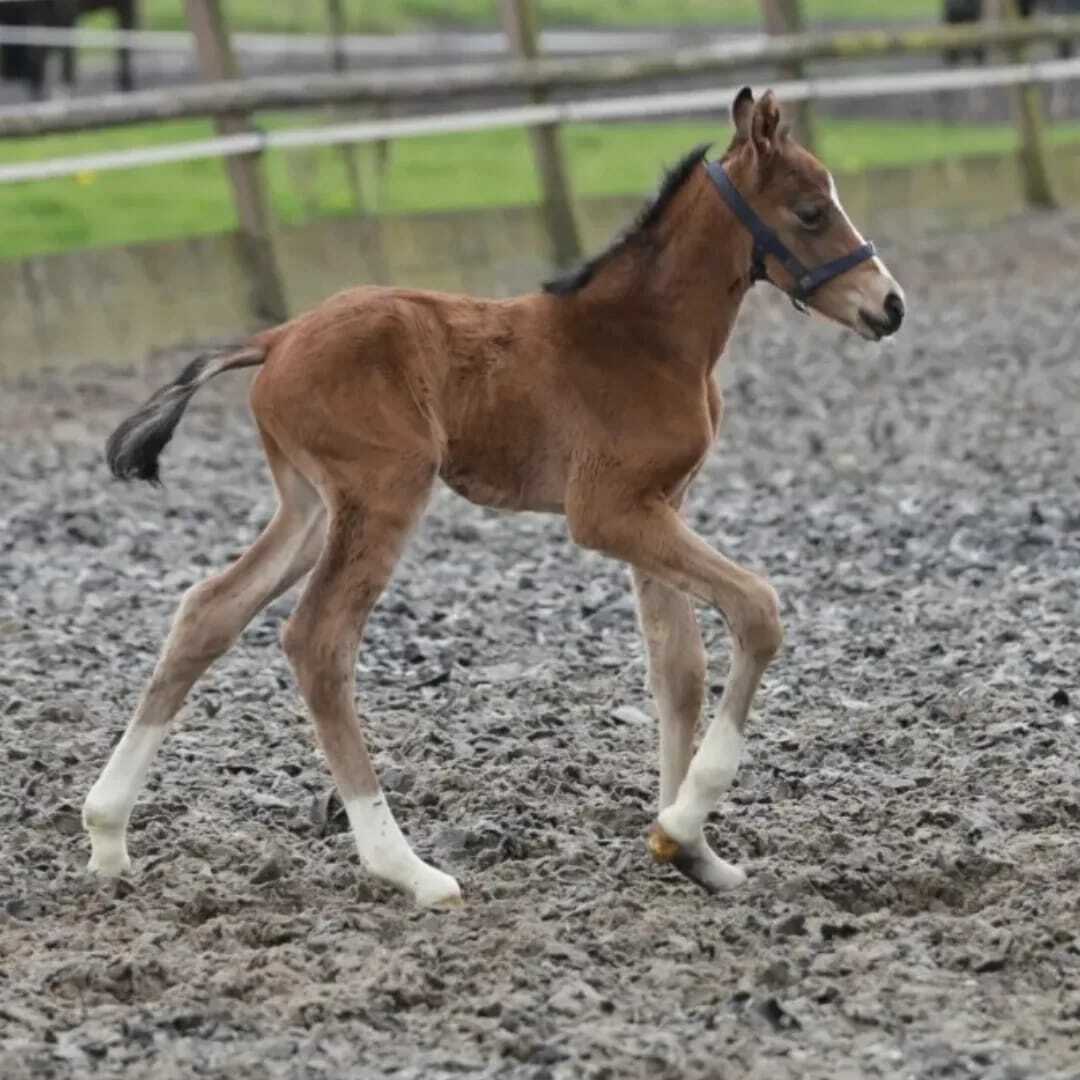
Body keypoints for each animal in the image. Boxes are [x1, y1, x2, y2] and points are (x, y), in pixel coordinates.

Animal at [86, 90, 902, 902]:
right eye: (810, 212)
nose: (889, 306)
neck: (645, 338)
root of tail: (277, 338)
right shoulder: (606, 511)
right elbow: (756, 610)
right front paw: (681, 821)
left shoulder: (661, 506)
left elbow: (679, 670)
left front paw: (690, 850)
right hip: (384, 491)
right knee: (318, 641)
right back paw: (406, 868)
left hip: (311, 506)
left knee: (209, 611)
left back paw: (107, 835)